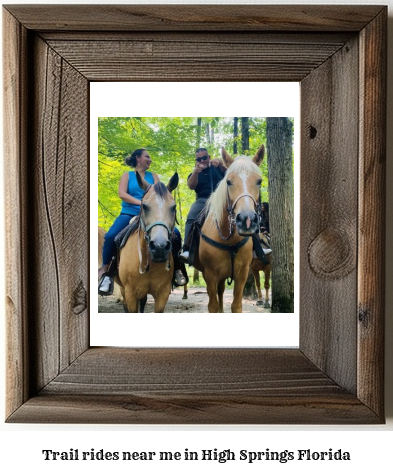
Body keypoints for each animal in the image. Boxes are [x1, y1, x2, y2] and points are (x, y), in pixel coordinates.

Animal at [116, 172, 178, 312]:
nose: (160, 247)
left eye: (173, 207)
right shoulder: (130, 294)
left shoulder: (163, 293)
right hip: (123, 290)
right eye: (144, 206)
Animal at [192, 146, 264, 312]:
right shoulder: (210, 274)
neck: (229, 240)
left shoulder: (242, 274)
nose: (246, 220)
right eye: (229, 182)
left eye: (259, 181)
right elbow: (212, 305)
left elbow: (236, 306)